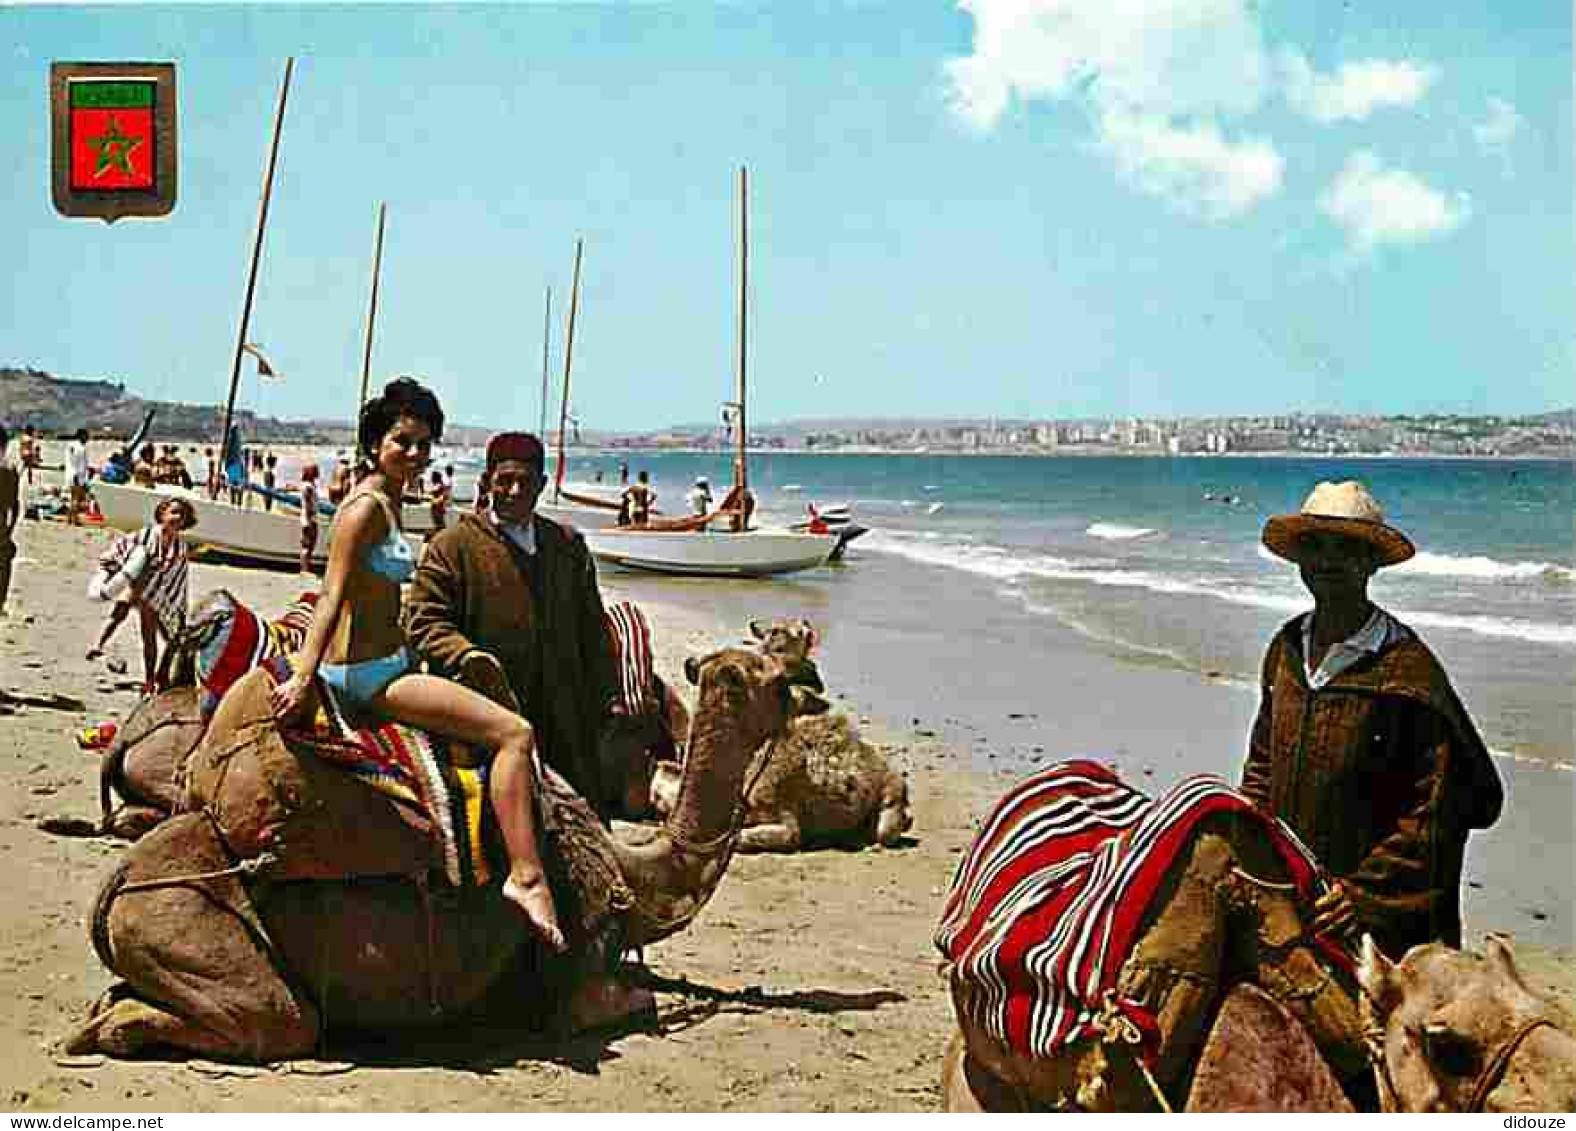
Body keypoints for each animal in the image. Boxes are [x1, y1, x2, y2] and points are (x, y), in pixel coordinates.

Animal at [64, 642, 825, 1064]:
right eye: (776, 681)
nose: (814, 689)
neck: (634, 876)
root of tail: (118, 882)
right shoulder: (579, 975)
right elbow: (630, 1002)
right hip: (183, 919)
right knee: (282, 1021)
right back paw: (108, 1028)